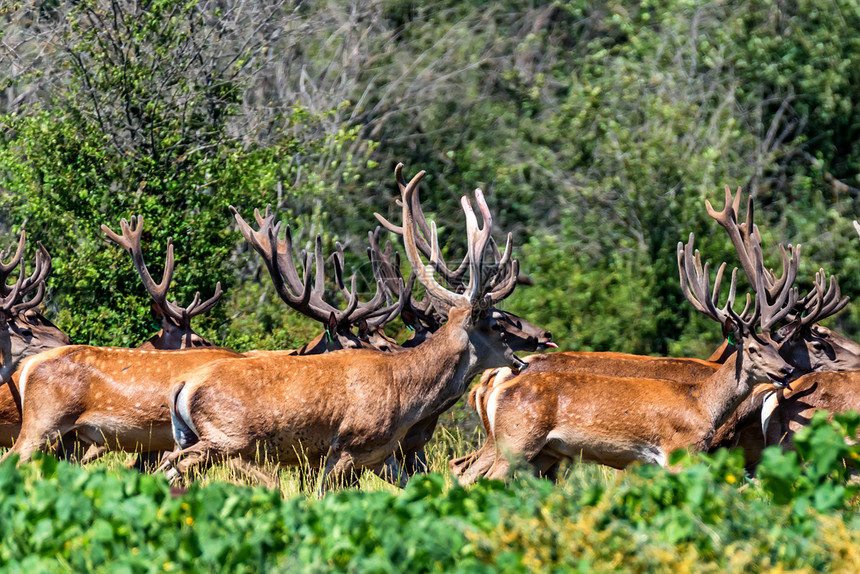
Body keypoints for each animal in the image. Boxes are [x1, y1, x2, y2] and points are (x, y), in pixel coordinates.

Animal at [158, 164, 540, 492]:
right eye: (496, 322)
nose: (521, 359)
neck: (406, 393)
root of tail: (183, 387)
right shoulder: (347, 447)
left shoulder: (381, 456)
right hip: (227, 438)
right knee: (175, 464)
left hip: (193, 436)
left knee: (167, 468)